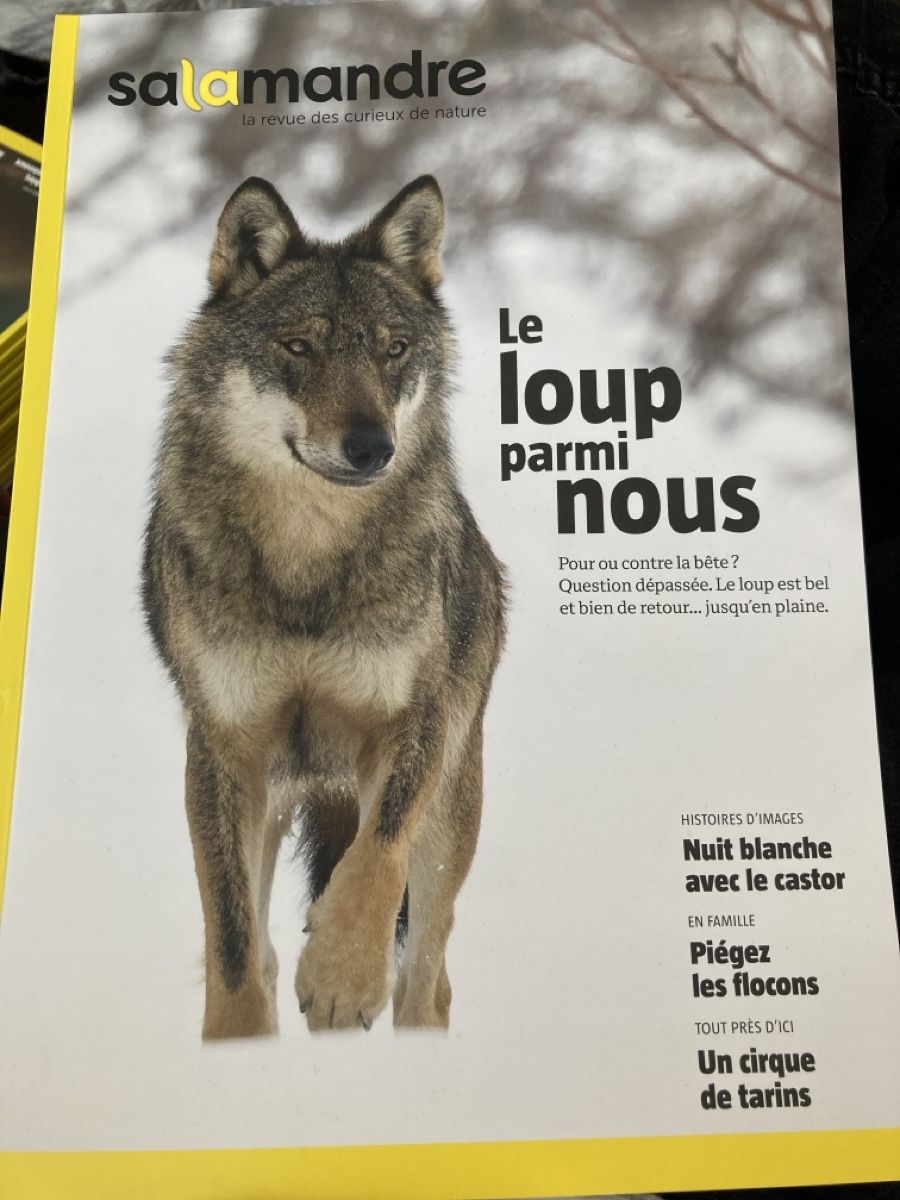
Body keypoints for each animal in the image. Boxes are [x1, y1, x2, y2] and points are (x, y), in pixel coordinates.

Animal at [142, 174, 506, 1038]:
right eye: (299, 348)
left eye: (392, 349)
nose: (372, 447)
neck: (308, 565)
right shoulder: (222, 749)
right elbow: (234, 939)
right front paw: (237, 1045)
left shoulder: (413, 722)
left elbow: (375, 854)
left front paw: (342, 977)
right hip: (276, 796)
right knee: (266, 946)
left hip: (452, 811)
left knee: (428, 978)